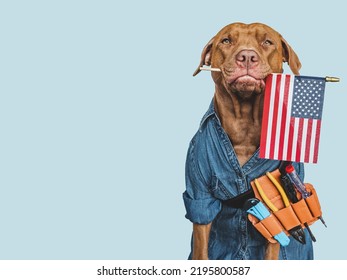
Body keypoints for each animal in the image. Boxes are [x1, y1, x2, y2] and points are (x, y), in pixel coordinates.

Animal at [189, 22, 304, 260]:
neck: (244, 124)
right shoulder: (200, 197)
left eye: (267, 42)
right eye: (226, 41)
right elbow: (200, 249)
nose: (247, 57)